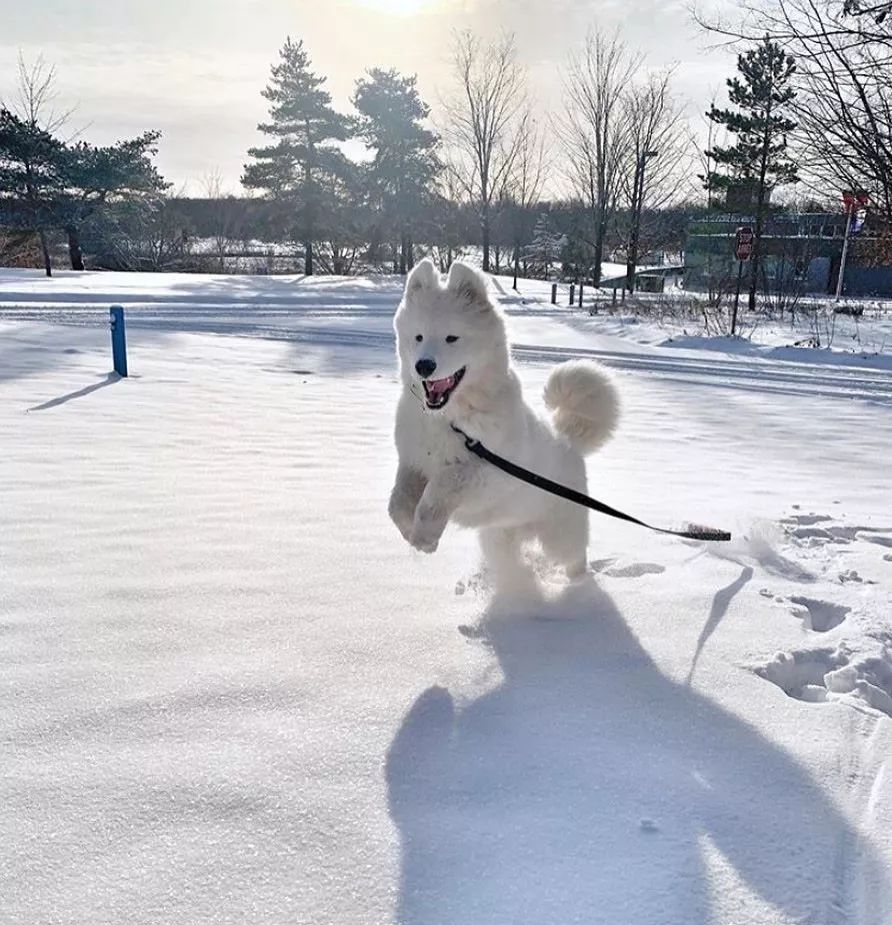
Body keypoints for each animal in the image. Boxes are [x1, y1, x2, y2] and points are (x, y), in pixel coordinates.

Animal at [390, 256, 620, 580]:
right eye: (418, 337)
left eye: (451, 338)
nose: (423, 365)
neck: (452, 419)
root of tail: (568, 442)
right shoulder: (412, 462)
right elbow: (397, 501)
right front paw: (410, 531)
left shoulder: (489, 473)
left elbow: (442, 485)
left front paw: (425, 537)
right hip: (499, 537)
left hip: (560, 536)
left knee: (575, 558)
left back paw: (579, 585)